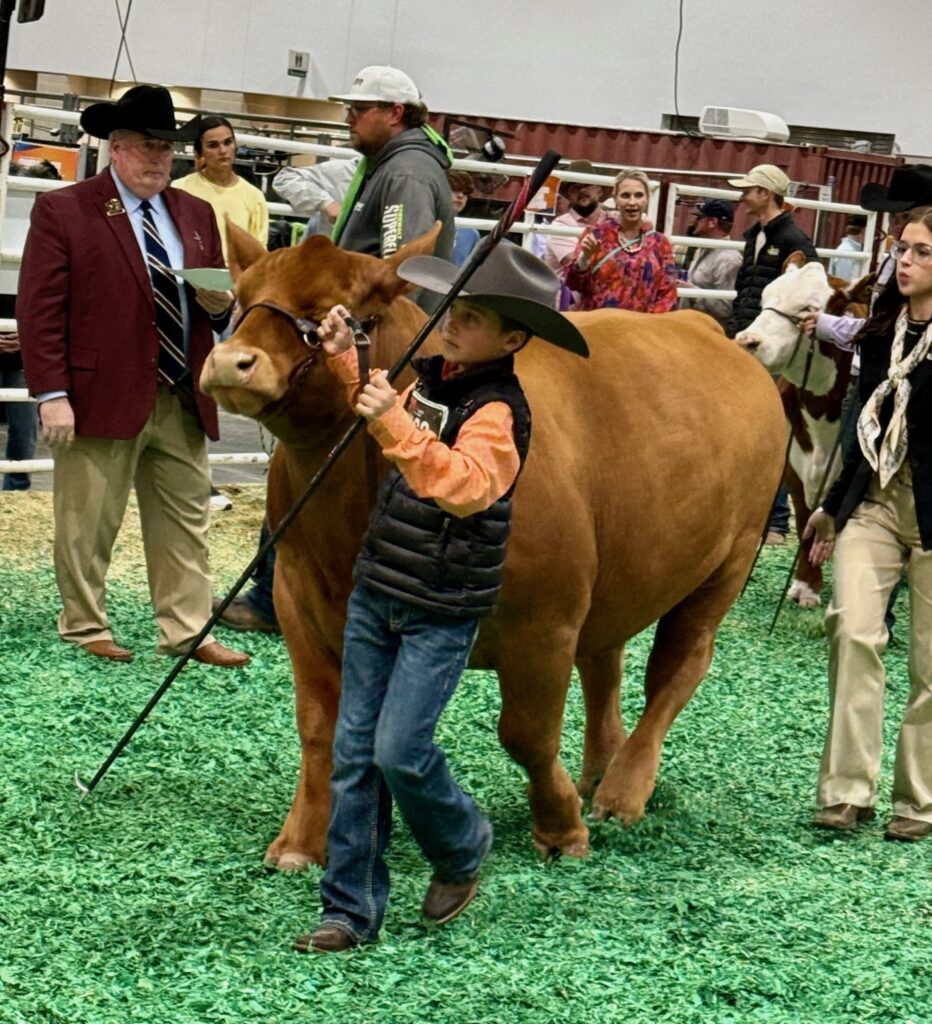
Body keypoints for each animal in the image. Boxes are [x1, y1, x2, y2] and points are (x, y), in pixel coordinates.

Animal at [200, 223, 786, 870]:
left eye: (344, 310)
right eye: (244, 296)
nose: (230, 362)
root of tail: (709, 329)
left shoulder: (545, 621)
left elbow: (527, 733)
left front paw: (561, 828)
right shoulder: (297, 598)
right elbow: (317, 724)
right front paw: (302, 839)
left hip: (728, 562)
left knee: (677, 669)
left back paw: (623, 791)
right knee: (605, 664)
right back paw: (600, 770)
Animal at [735, 261, 873, 606]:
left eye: (808, 309)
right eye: (766, 298)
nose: (746, 341)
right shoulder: (794, 469)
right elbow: (805, 522)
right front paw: (807, 585)